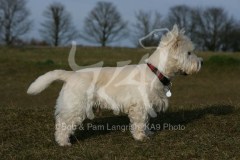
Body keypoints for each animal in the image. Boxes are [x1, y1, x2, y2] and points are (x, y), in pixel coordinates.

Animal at [27, 25, 202, 146]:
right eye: (189, 53)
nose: (201, 62)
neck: (156, 71)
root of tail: (71, 75)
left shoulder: (147, 105)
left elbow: (145, 121)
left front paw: (148, 133)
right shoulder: (139, 106)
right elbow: (139, 122)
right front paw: (140, 137)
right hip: (75, 106)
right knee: (62, 123)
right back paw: (64, 142)